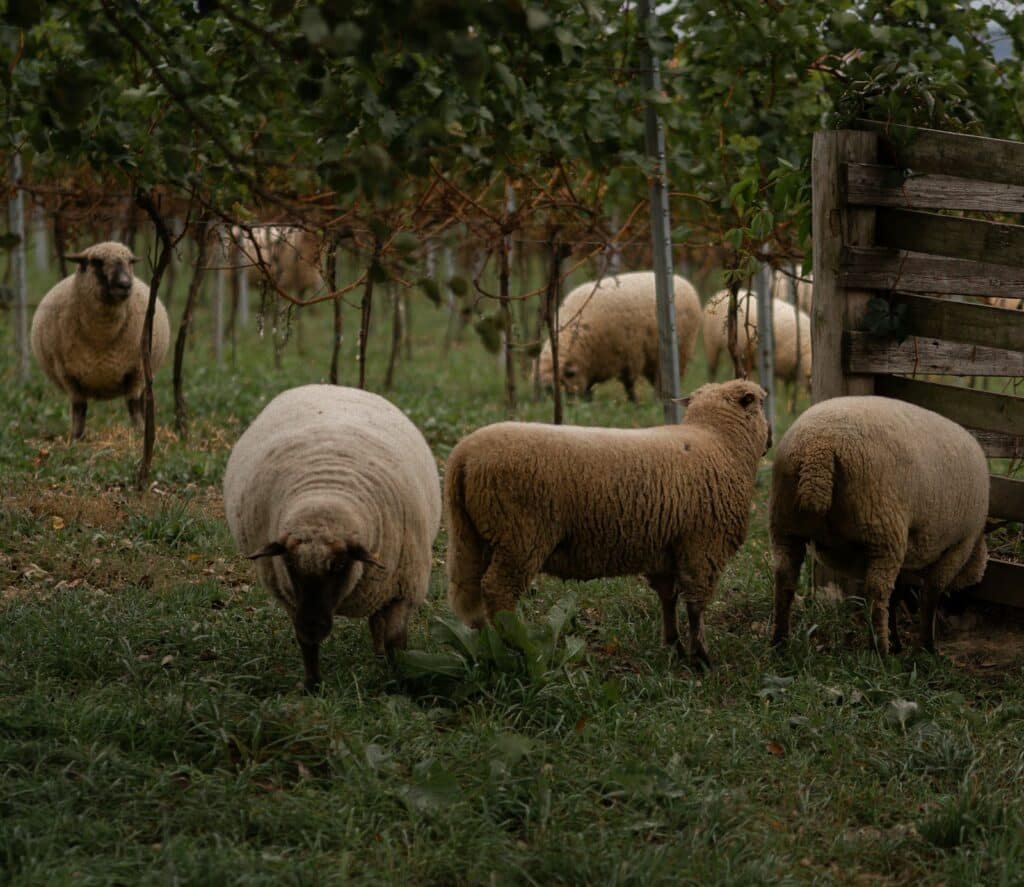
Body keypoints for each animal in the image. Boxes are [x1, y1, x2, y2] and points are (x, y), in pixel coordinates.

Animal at [30, 241, 170, 439]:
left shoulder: (136, 371)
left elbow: (134, 407)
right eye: (96, 261)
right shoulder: (68, 374)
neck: (101, 336)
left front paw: (140, 435)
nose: (124, 285)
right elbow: (79, 409)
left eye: (130, 262)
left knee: (142, 401)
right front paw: (75, 440)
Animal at [223, 384, 441, 691]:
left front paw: (401, 682)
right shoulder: (291, 595)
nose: (314, 626)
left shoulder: (403, 589)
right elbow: (305, 643)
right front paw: (313, 686)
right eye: (290, 565)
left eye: (339, 565)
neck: (326, 492)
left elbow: (396, 643)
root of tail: (330, 385)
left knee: (377, 622)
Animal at [445, 379, 770, 667]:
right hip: (520, 537)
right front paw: (701, 658)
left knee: (470, 589)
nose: (770, 441)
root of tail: (463, 454)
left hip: (471, 536)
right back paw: (515, 648)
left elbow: (668, 598)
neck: (719, 441)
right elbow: (696, 606)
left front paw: (672, 645)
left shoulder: (666, 549)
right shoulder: (703, 547)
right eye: (761, 403)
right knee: (498, 590)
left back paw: (484, 645)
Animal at [536, 271, 702, 402]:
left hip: (681, 349)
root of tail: (683, 281)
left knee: (664, 378)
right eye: (548, 392)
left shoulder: (628, 353)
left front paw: (633, 402)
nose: (570, 407)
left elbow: (628, 383)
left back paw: (660, 400)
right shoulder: (595, 363)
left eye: (563, 383)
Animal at [769, 396, 989, 655]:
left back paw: (780, 642)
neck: (976, 546)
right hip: (883, 530)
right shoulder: (958, 546)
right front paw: (926, 647)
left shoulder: (909, 550)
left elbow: (898, 597)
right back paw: (880, 651)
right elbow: (930, 597)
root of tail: (818, 448)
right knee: (878, 592)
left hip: (784, 524)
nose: (964, 615)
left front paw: (899, 641)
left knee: (784, 577)